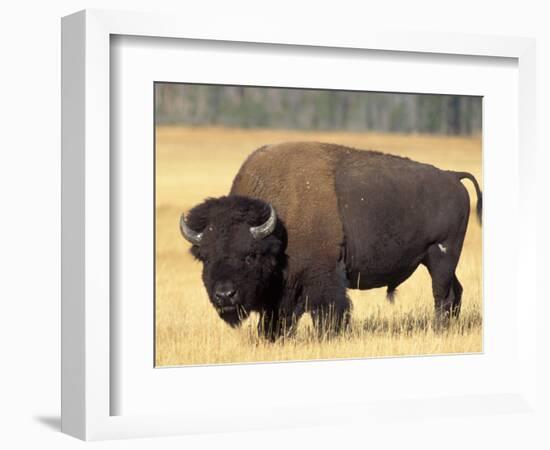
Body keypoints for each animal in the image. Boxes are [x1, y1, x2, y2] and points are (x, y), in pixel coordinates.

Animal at [180, 142, 484, 340]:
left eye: (250, 255)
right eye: (205, 257)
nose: (224, 295)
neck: (280, 222)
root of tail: (452, 177)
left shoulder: (321, 277)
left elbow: (327, 311)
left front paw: (329, 336)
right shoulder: (283, 290)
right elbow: (278, 317)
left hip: (441, 255)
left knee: (442, 295)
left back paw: (439, 331)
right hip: (436, 260)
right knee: (456, 291)